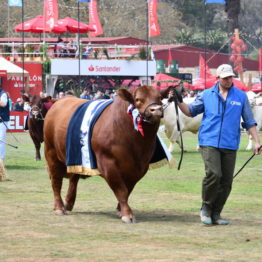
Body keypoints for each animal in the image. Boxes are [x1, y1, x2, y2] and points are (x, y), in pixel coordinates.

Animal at [44, 86, 165, 223]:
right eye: (138, 99)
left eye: (160, 97)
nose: (156, 110)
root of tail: (60, 100)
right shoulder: (108, 163)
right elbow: (121, 189)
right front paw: (127, 214)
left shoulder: (140, 167)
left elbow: (128, 189)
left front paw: (120, 209)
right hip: (51, 153)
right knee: (56, 181)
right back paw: (59, 207)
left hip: (75, 156)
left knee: (74, 179)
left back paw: (68, 203)